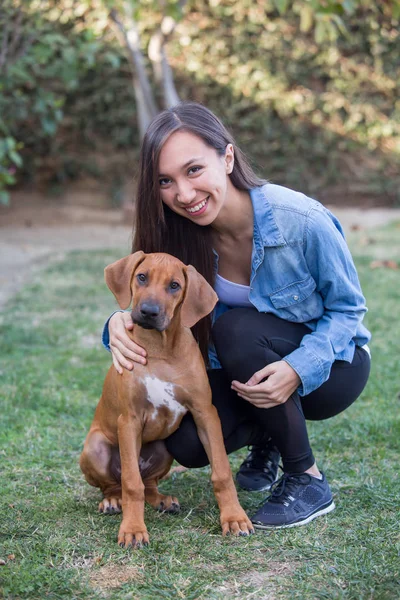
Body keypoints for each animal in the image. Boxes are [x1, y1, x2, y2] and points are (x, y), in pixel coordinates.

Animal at [79, 251, 252, 548]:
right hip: (95, 448)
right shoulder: (129, 420)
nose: (149, 312)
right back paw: (112, 500)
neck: (159, 349)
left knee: (148, 483)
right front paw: (133, 529)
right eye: (141, 277)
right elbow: (132, 485)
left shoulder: (205, 413)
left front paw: (234, 517)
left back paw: (161, 500)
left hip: (164, 451)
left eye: (174, 286)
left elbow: (221, 472)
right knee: (118, 482)